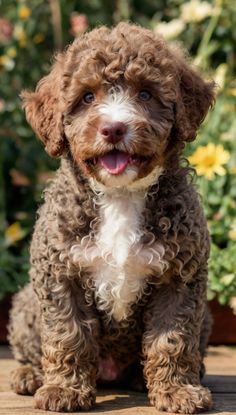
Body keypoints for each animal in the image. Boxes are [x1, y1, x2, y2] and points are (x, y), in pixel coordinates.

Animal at [8, 23, 216, 415]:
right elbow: (68, 334)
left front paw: (178, 391)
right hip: (27, 302)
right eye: (87, 97)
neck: (121, 196)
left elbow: (172, 338)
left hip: (206, 314)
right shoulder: (59, 273)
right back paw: (29, 375)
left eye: (146, 94)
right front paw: (65, 390)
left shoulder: (180, 276)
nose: (114, 129)